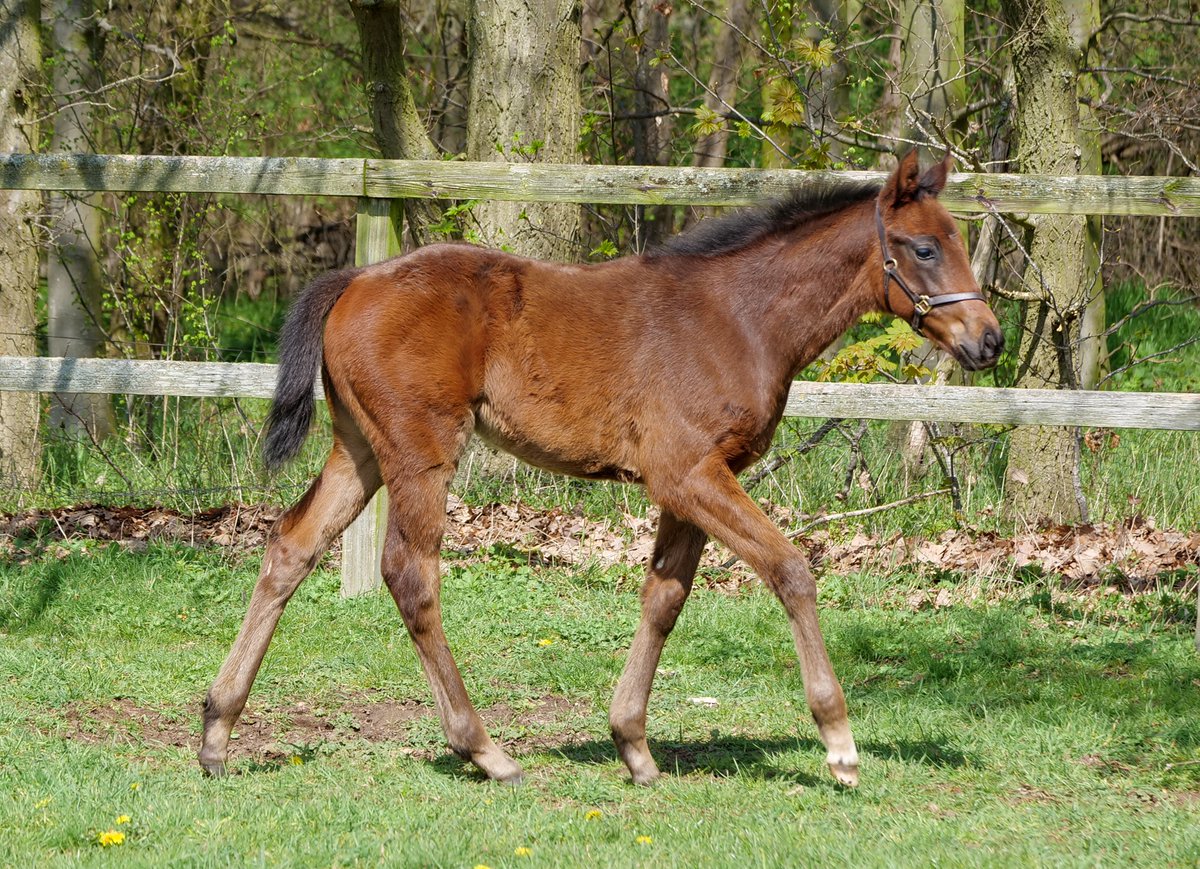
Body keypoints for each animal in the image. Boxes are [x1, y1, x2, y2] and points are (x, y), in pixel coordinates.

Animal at [199, 151, 1003, 788]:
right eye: (924, 249)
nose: (989, 340)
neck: (740, 316)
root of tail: (354, 280)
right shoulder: (689, 474)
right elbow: (790, 570)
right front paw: (839, 744)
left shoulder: (689, 485)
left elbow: (664, 599)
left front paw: (634, 746)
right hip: (420, 451)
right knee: (409, 572)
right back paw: (485, 750)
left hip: (360, 451)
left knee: (291, 546)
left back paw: (216, 731)